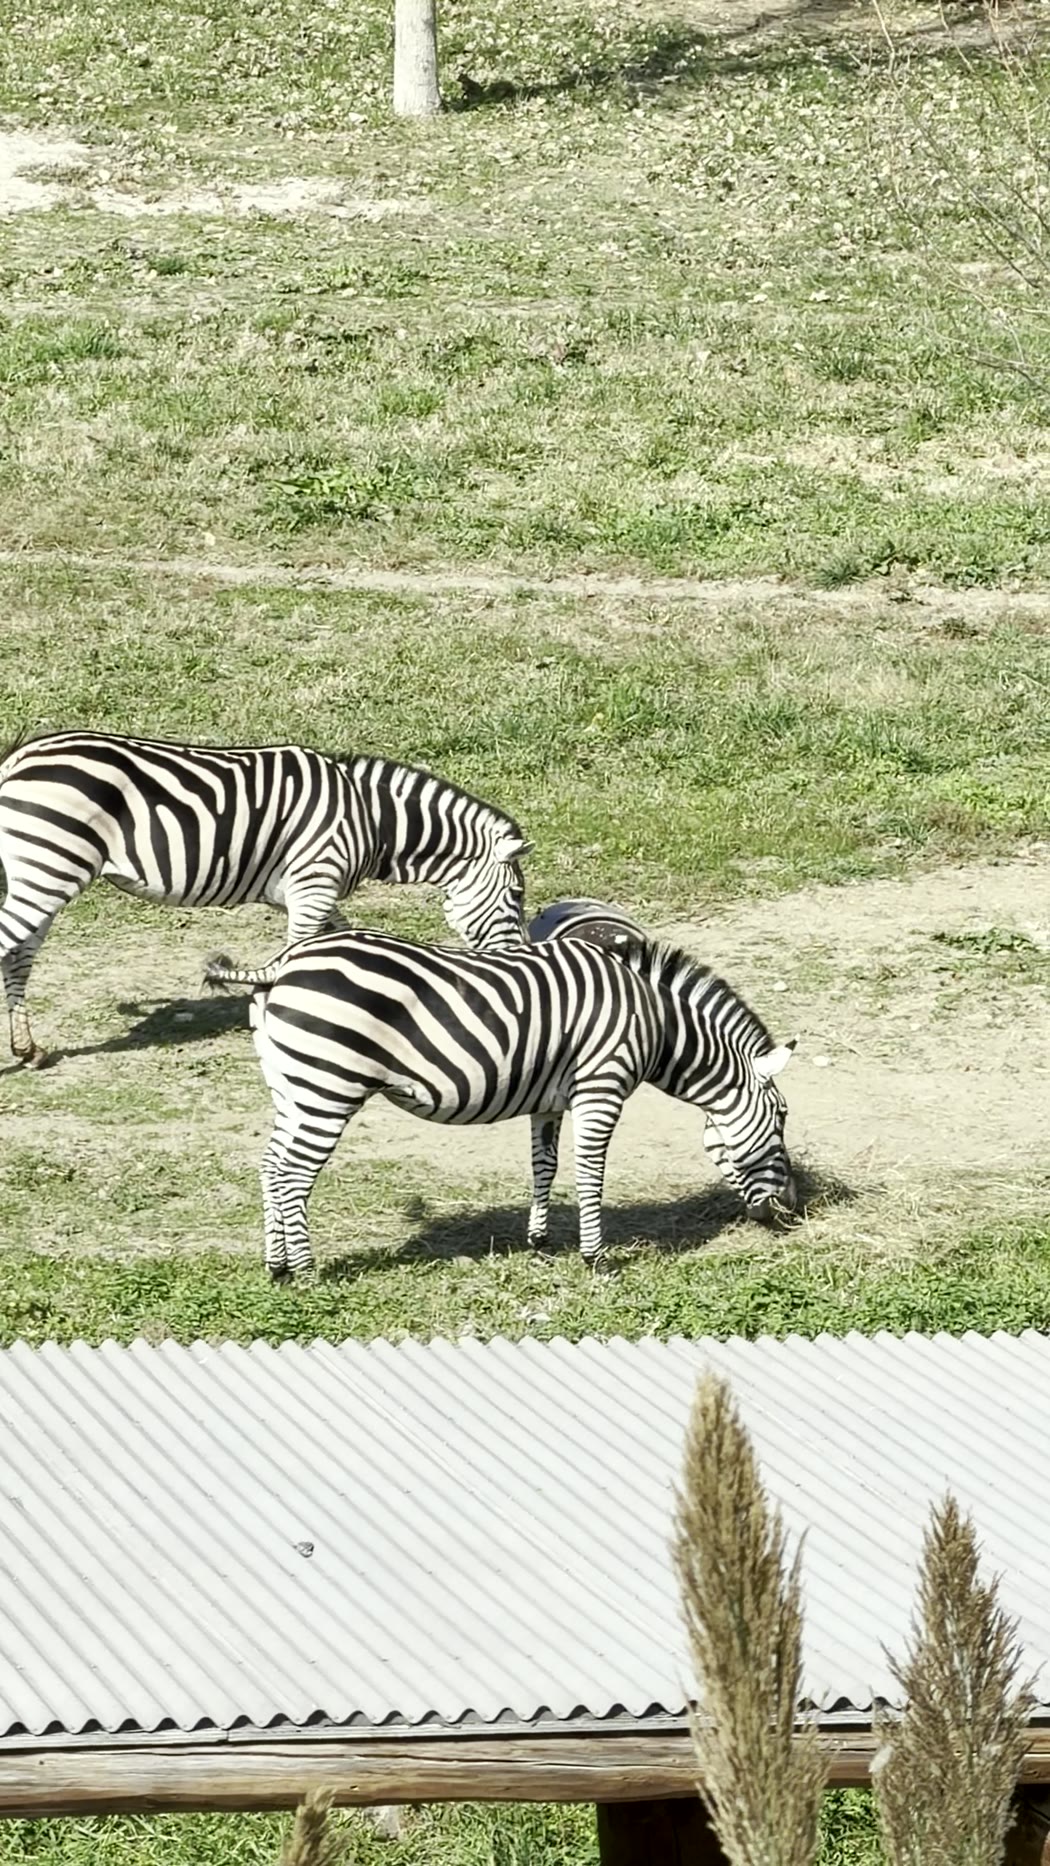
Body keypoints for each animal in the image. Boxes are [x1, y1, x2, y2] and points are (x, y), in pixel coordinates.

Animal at [0, 730, 530, 1067]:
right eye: (517, 894)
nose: (518, 954)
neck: (371, 819)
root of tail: (18, 759)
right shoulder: (314, 881)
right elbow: (299, 951)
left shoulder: (301, 892)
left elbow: (332, 940)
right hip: (51, 865)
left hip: (42, 873)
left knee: (19, 954)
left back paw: (29, 1050)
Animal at [204, 924, 797, 1279]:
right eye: (783, 1119)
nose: (793, 1210)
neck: (658, 1025)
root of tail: (283, 964)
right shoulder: (601, 1086)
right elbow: (591, 1171)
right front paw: (596, 1258)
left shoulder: (551, 1097)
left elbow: (545, 1164)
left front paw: (539, 1240)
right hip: (329, 1086)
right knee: (292, 1176)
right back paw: (306, 1272)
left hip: (291, 1086)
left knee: (270, 1166)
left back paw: (277, 1267)